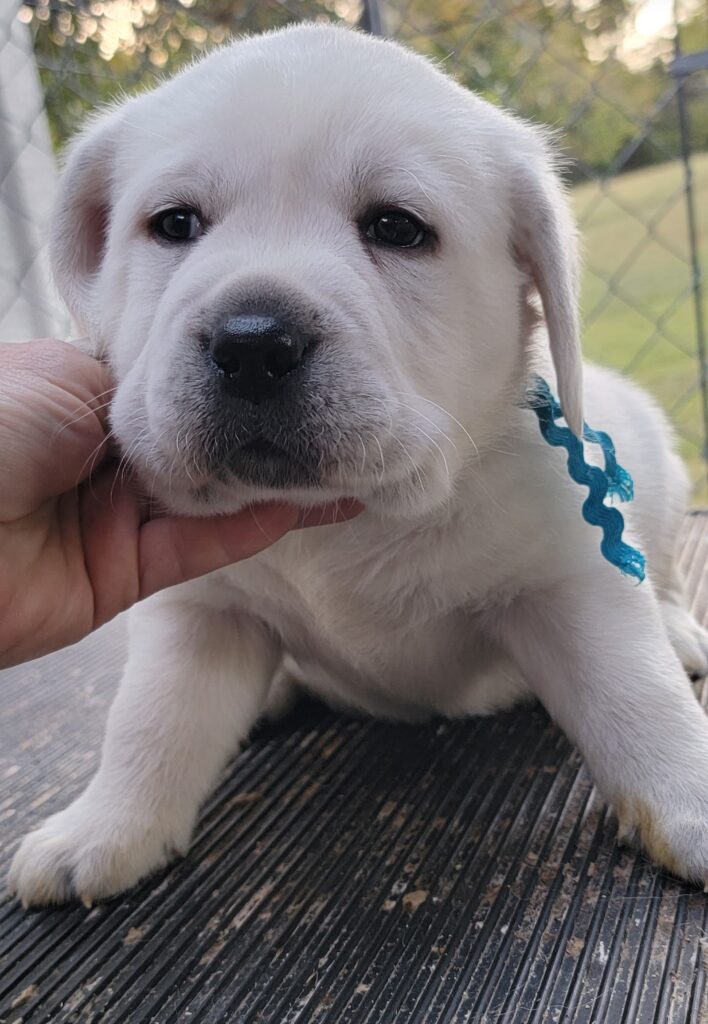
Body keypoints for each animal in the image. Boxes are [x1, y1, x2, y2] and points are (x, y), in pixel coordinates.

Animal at [9, 24, 708, 905]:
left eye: (397, 228)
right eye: (173, 223)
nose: (252, 344)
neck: (347, 521)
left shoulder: (571, 580)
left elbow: (636, 693)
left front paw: (689, 798)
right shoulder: (199, 613)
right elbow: (151, 717)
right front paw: (106, 825)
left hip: (658, 471)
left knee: (666, 576)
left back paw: (678, 627)